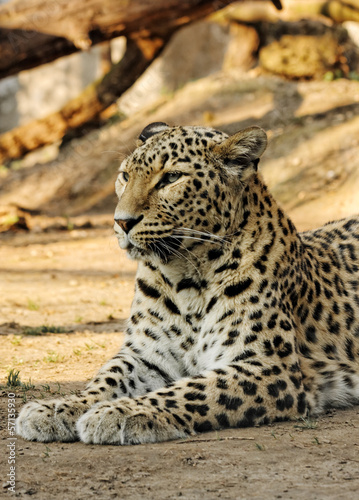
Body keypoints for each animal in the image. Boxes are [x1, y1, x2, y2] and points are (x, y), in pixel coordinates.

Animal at [16, 121, 359, 446]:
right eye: (125, 176)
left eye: (171, 178)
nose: (121, 222)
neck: (185, 278)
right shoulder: (145, 355)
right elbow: (106, 378)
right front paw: (58, 407)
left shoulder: (269, 365)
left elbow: (192, 390)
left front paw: (122, 411)